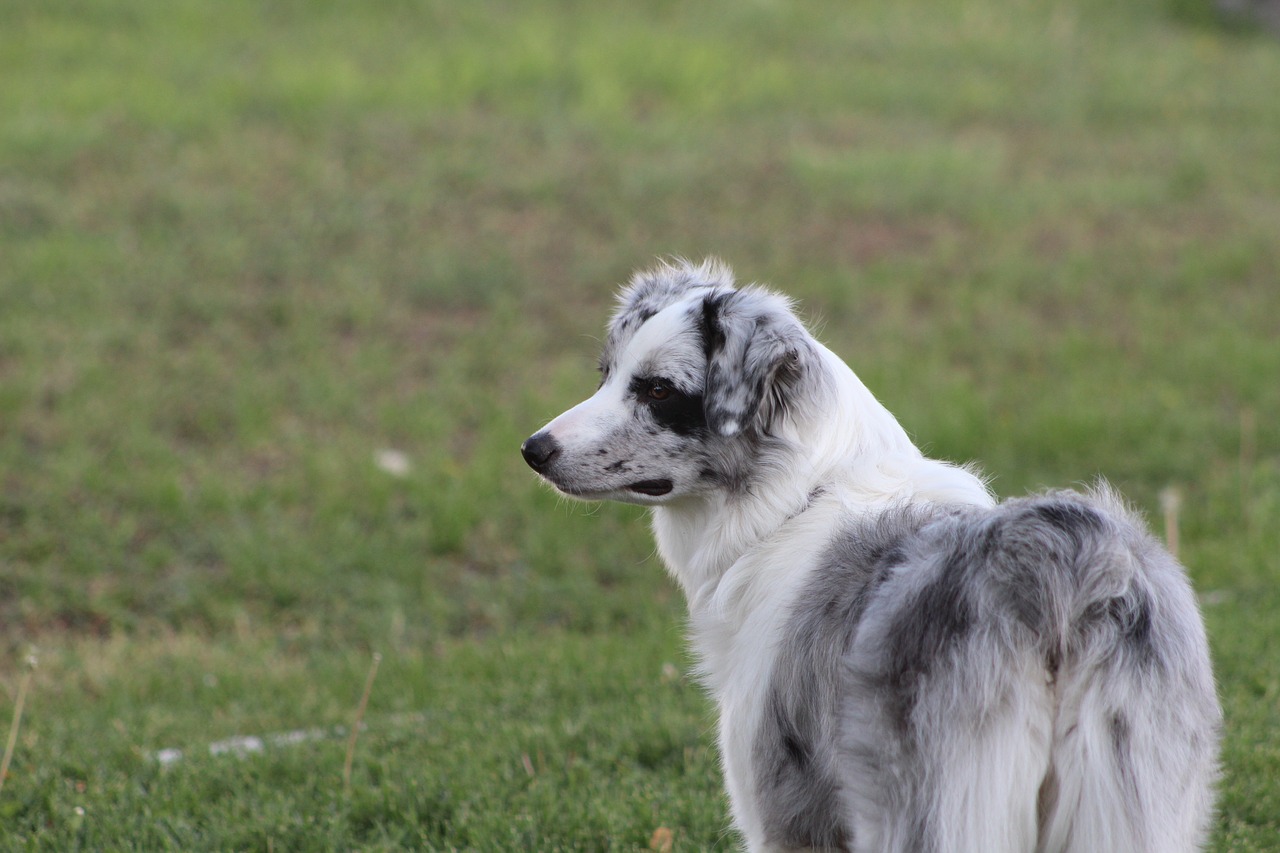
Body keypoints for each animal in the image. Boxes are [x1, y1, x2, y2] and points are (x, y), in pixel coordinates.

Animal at [517, 258, 1218, 850]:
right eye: (606, 374)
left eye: (660, 390)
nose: (534, 449)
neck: (794, 499)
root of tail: (1064, 562)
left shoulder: (787, 812)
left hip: (936, 809)